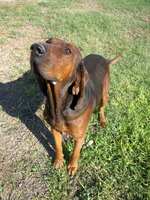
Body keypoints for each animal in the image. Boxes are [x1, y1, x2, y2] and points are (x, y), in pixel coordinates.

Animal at [30, 37, 120, 175]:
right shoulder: (54, 129)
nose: (35, 47)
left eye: (68, 51)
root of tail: (105, 60)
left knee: (102, 107)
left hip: (104, 95)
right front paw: (58, 161)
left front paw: (72, 166)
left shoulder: (80, 137)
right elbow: (58, 146)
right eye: (49, 41)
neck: (60, 105)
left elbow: (75, 153)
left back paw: (102, 120)